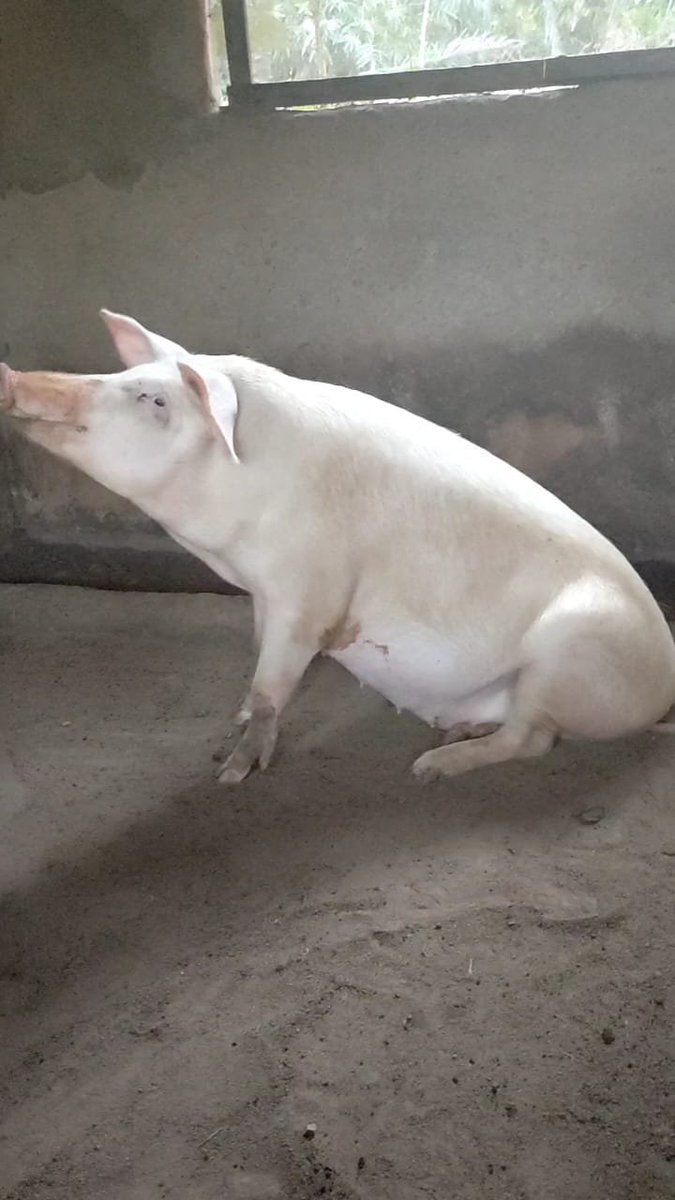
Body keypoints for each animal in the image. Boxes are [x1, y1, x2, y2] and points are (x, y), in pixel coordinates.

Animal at [2, 309, 675, 786]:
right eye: (121, 376)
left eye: (156, 400)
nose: (11, 374)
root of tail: (661, 692)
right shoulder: (263, 591)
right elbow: (256, 657)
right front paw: (233, 723)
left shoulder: (309, 587)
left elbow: (274, 682)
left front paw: (231, 773)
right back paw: (456, 733)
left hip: (570, 652)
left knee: (533, 740)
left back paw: (430, 766)